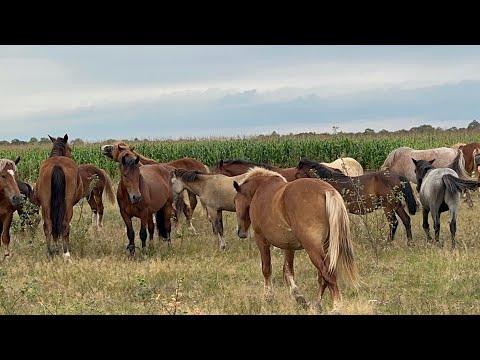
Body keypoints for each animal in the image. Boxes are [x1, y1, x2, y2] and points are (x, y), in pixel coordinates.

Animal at [232, 167, 360, 310]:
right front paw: (298, 297)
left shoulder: (261, 240)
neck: (261, 188)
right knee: (323, 277)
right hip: (326, 247)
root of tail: (326, 191)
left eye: (235, 201)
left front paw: (268, 297)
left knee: (327, 273)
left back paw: (336, 306)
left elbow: (267, 269)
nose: (240, 232)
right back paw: (316, 304)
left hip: (313, 248)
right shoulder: (288, 246)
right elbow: (288, 271)